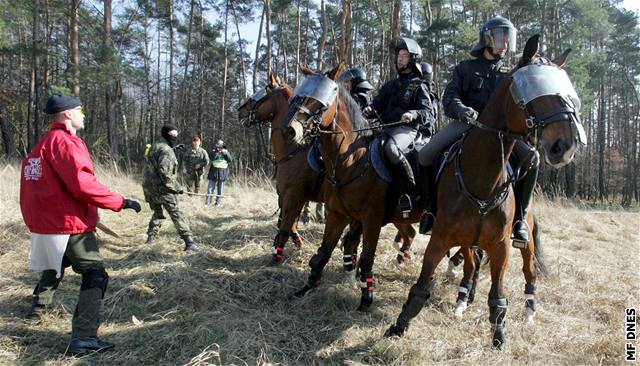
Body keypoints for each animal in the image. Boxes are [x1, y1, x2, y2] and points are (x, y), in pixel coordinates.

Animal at [238, 73, 418, 268]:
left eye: (262, 94)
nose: (240, 111)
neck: (295, 149)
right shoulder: (292, 197)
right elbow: (289, 224)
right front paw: (297, 242)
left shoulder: (294, 195)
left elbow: (286, 226)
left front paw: (278, 255)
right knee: (409, 232)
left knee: (408, 232)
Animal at [384, 35, 584, 348]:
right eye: (532, 88)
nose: (565, 146)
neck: (483, 180)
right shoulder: (441, 239)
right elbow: (421, 286)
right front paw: (398, 326)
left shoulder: (501, 247)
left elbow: (498, 297)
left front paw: (499, 336)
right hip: (469, 240)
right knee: (472, 266)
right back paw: (463, 299)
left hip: (524, 239)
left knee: (529, 270)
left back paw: (529, 308)